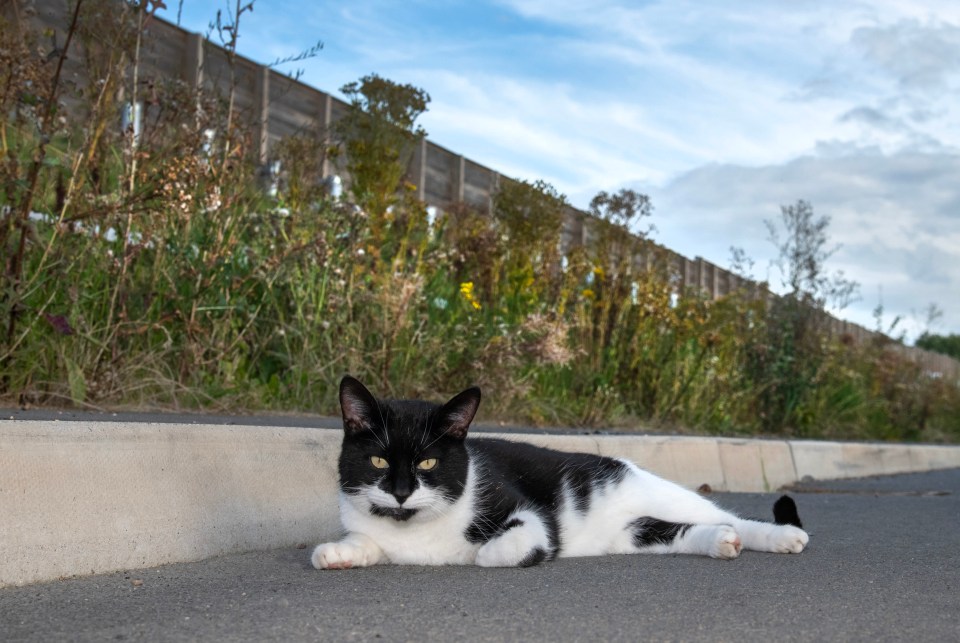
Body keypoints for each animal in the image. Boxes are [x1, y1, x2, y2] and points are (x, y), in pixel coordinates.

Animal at [312, 378, 808, 568]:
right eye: (378, 461)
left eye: (428, 463)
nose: (399, 492)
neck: (416, 531)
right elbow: (364, 541)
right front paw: (336, 552)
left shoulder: (529, 513)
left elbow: (506, 546)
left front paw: (481, 552)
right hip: (631, 536)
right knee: (684, 532)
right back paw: (722, 543)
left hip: (663, 494)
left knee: (731, 516)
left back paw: (781, 537)